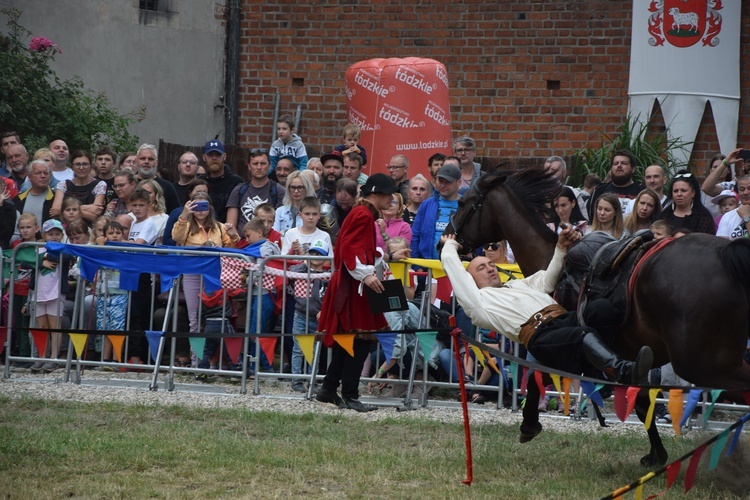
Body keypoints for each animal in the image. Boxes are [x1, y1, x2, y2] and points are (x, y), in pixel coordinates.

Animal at [446, 166, 750, 466]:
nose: (446, 237)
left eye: (462, 203)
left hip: (701, 364)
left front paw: (529, 425)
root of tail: (726, 256)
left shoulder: (556, 352)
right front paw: (656, 454)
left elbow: (534, 379)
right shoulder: (630, 355)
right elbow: (641, 401)